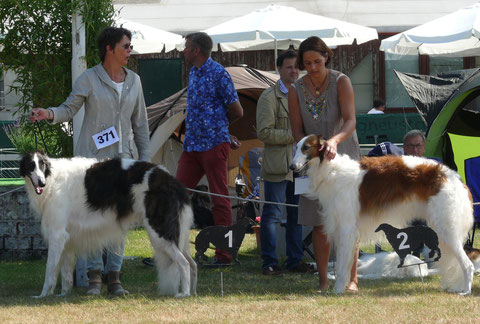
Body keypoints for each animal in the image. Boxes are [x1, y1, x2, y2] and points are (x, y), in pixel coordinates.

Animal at [18, 151, 195, 298]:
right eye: (31, 165)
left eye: (42, 165)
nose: (41, 183)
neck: (52, 180)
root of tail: (171, 180)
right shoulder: (67, 240)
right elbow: (66, 274)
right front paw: (63, 294)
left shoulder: (57, 235)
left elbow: (50, 271)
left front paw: (42, 295)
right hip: (178, 235)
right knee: (193, 263)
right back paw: (193, 292)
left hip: (159, 231)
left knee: (184, 263)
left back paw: (185, 293)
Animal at [290, 135, 474, 294]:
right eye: (296, 147)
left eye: (306, 148)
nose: (292, 167)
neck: (330, 170)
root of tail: (454, 178)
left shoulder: (346, 229)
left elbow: (341, 267)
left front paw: (337, 291)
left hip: (446, 229)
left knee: (468, 264)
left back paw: (466, 291)